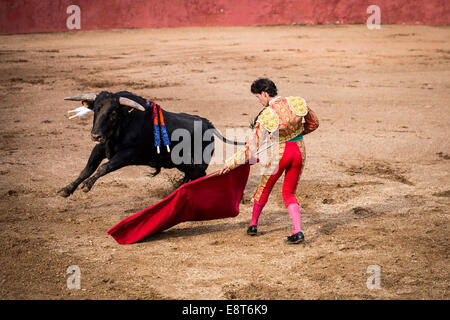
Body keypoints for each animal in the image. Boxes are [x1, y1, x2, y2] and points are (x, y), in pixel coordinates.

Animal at [59, 89, 244, 196]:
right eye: (96, 109)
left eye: (113, 113)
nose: (95, 135)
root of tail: (208, 123)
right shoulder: (100, 148)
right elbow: (87, 169)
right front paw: (67, 189)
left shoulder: (127, 154)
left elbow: (103, 167)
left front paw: (86, 186)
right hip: (181, 162)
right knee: (191, 175)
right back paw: (176, 191)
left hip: (197, 161)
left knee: (199, 174)